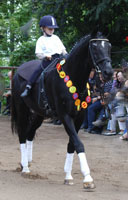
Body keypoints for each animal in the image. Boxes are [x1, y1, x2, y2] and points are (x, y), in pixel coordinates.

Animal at [11, 31, 113, 189]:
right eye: (95, 47)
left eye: (109, 46)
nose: (108, 72)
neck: (74, 79)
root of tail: (17, 72)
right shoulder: (65, 116)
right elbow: (78, 143)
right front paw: (87, 178)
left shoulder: (79, 117)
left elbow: (72, 144)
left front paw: (68, 176)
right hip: (22, 110)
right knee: (22, 134)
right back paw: (25, 168)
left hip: (39, 114)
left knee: (30, 133)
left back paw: (26, 162)